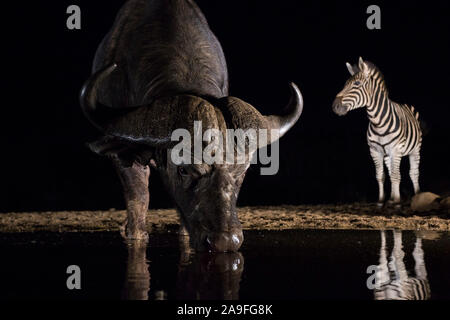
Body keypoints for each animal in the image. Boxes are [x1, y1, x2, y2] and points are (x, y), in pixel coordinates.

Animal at [330, 57, 422, 206]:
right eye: (345, 84)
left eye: (357, 83)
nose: (334, 106)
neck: (378, 122)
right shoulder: (375, 150)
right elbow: (381, 176)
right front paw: (381, 200)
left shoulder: (396, 149)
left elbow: (396, 176)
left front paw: (397, 202)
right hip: (387, 155)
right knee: (390, 172)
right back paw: (391, 198)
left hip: (415, 149)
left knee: (413, 173)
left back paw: (417, 196)